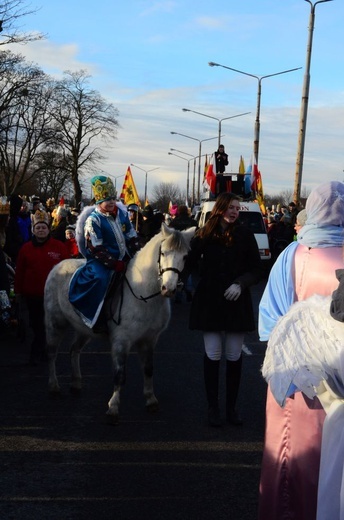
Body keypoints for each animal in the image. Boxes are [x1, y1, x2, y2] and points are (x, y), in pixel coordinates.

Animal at [44, 223, 195, 422]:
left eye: (185, 256)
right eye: (163, 253)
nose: (168, 288)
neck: (144, 294)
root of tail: (57, 266)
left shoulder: (149, 340)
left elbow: (148, 369)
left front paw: (151, 400)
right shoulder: (121, 340)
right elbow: (119, 375)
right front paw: (113, 408)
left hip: (84, 330)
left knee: (74, 350)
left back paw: (76, 383)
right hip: (55, 324)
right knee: (52, 353)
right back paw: (53, 386)